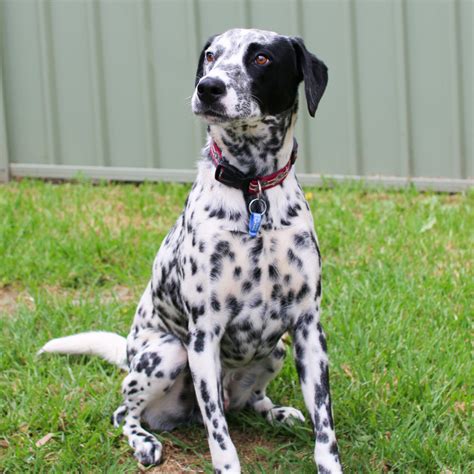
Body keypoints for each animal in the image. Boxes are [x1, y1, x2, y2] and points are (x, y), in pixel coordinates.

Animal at [37, 28, 340, 474]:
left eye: (262, 58)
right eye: (211, 55)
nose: (208, 87)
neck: (253, 193)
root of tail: (130, 353)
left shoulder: (308, 331)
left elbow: (325, 428)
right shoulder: (203, 337)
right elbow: (220, 437)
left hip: (277, 351)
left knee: (250, 401)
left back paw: (276, 411)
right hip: (168, 354)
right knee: (125, 413)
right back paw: (144, 442)